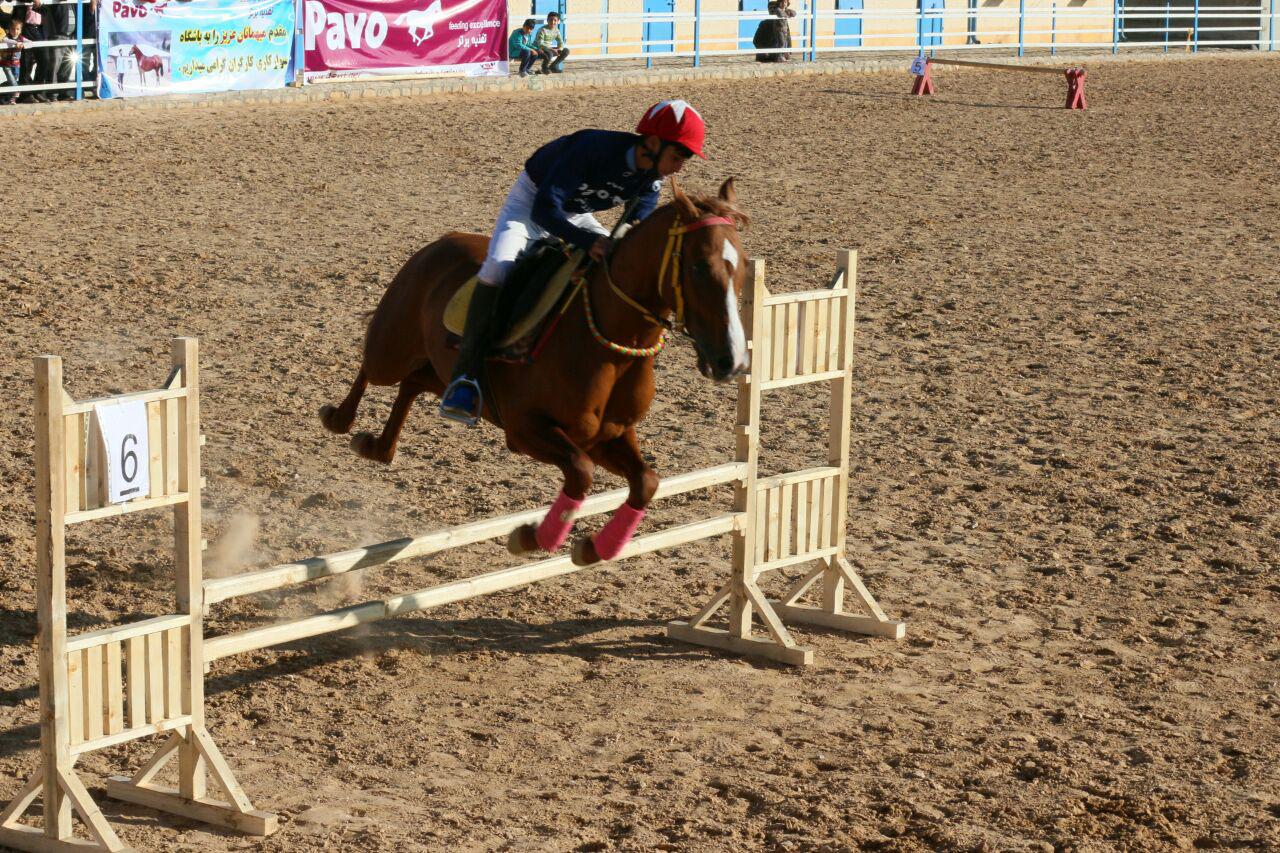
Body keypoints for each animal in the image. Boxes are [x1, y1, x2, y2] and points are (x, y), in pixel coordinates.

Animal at [318, 178, 747, 563]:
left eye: (743, 266)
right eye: (698, 268)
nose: (731, 360)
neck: (609, 343)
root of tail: (440, 242)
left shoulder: (608, 434)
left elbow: (645, 481)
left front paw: (594, 548)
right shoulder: (525, 430)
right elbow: (581, 472)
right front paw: (529, 537)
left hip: (440, 371)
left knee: (413, 384)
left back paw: (378, 447)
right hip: (392, 346)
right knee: (372, 367)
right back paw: (339, 419)